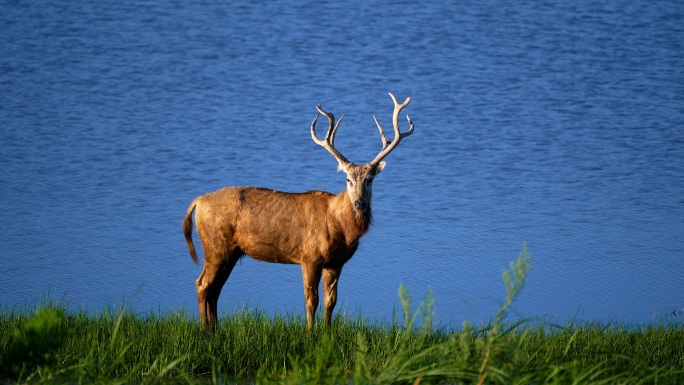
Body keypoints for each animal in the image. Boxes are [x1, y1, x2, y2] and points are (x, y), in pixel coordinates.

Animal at [182, 93, 414, 330]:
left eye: (369, 180)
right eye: (348, 180)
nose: (359, 203)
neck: (341, 227)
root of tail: (198, 201)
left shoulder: (335, 263)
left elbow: (331, 301)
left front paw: (327, 332)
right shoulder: (310, 256)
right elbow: (311, 300)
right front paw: (310, 332)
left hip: (231, 251)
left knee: (215, 289)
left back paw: (214, 329)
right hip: (215, 244)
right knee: (203, 284)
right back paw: (204, 329)